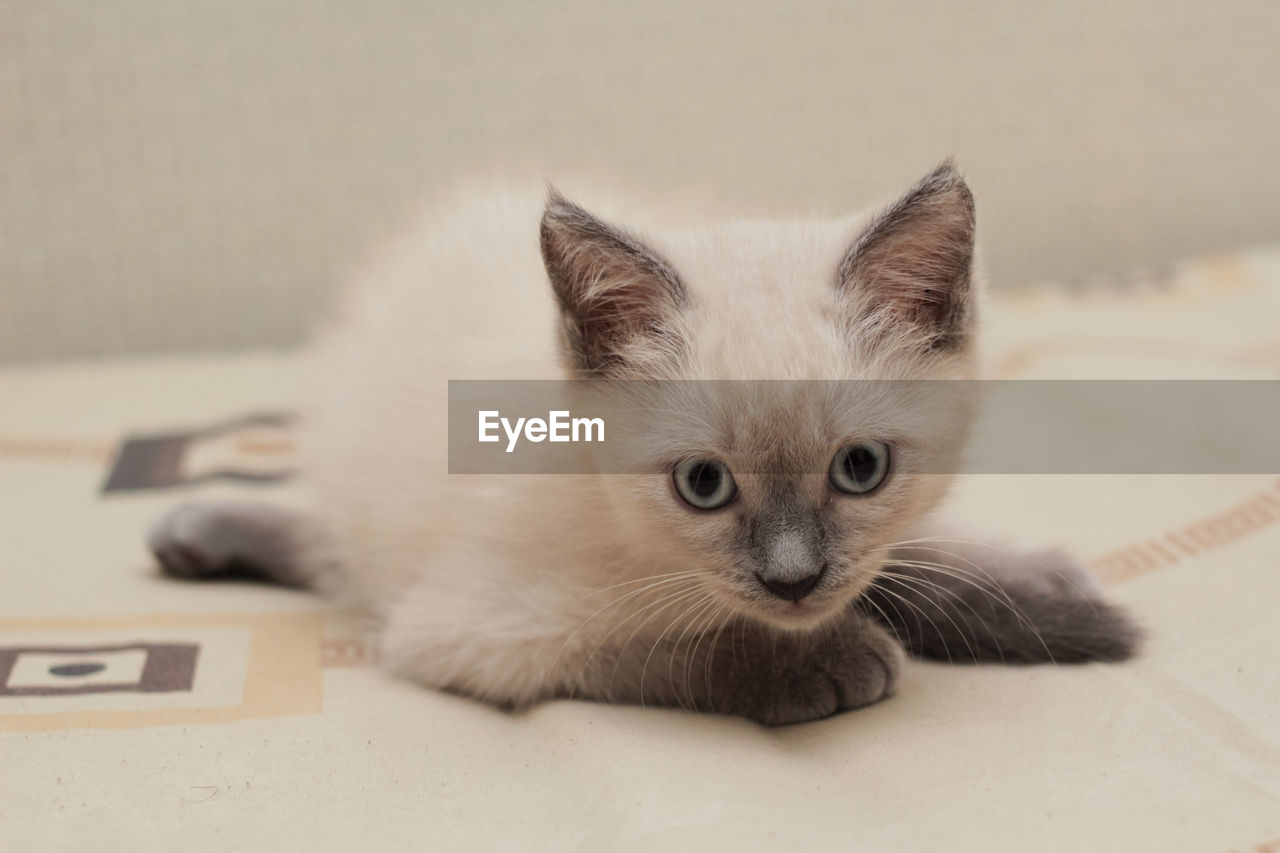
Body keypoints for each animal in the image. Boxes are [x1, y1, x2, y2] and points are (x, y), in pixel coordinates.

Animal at [149, 161, 1141, 722]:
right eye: (703, 484)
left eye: (861, 468)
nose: (793, 579)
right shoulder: (480, 630)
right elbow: (681, 643)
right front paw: (820, 662)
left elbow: (912, 563)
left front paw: (1037, 588)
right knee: (325, 544)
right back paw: (189, 532)